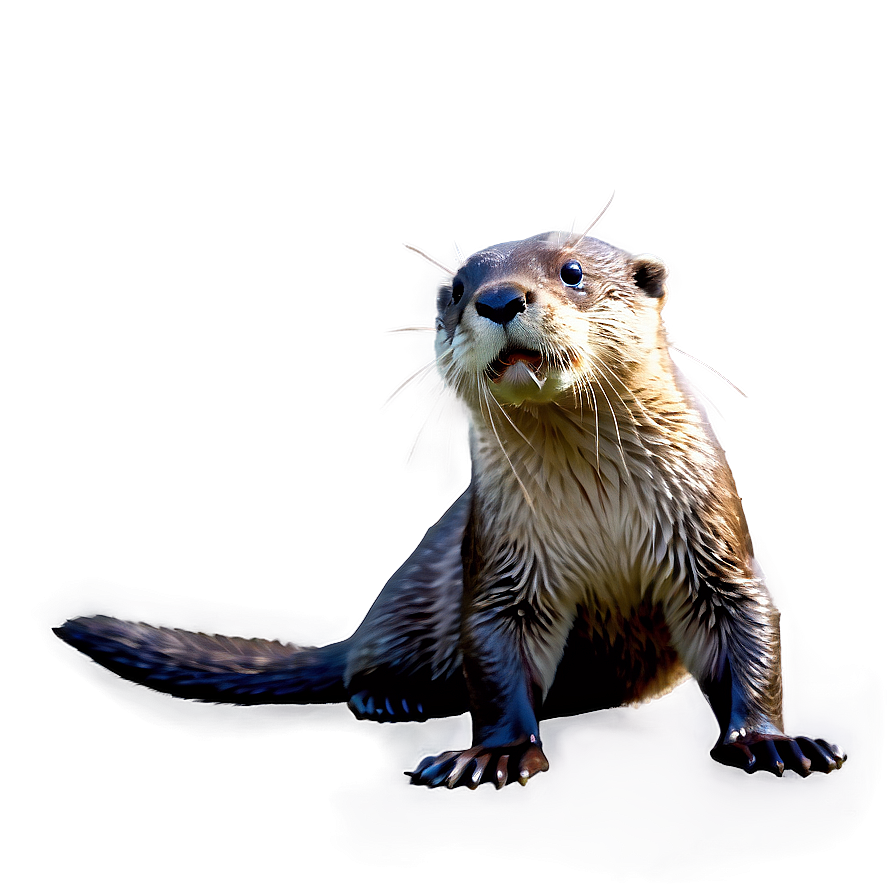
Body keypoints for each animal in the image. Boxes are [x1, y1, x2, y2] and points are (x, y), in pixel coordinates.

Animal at [54, 231, 846, 788]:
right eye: (460, 288)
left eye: (572, 271)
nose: (497, 299)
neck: (599, 517)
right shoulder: (501, 563)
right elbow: (494, 659)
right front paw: (494, 755)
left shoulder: (710, 538)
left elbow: (746, 629)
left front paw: (772, 741)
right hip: (405, 614)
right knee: (360, 670)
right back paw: (390, 699)